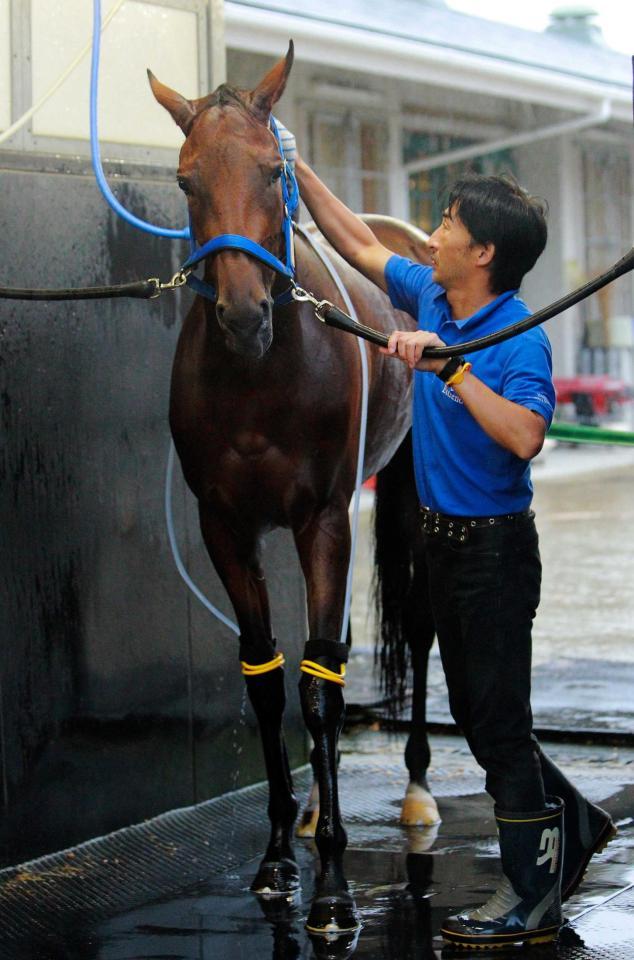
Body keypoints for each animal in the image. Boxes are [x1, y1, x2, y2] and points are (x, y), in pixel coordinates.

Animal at [149, 41, 436, 932]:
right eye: (184, 180)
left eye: (273, 166)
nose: (243, 315)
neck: (262, 376)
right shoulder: (225, 529)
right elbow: (273, 683)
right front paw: (279, 853)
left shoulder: (324, 522)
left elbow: (322, 691)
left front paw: (335, 890)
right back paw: (312, 809)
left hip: (404, 493)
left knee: (413, 632)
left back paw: (417, 788)